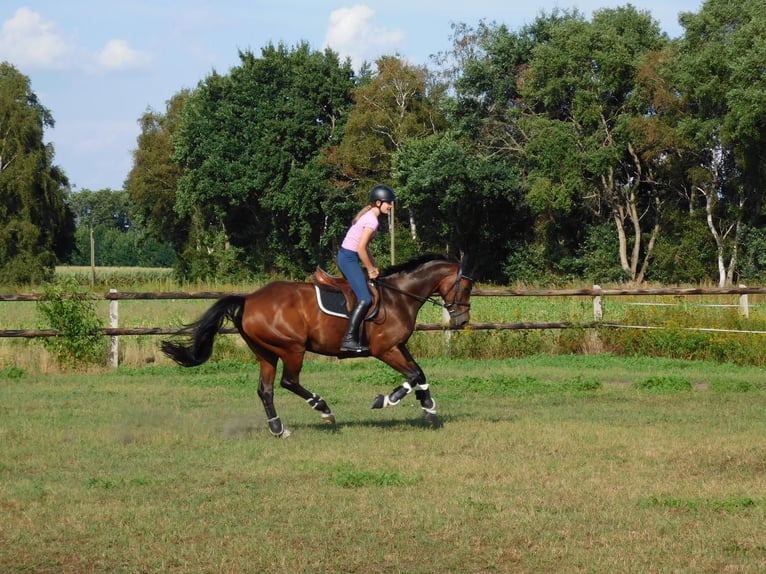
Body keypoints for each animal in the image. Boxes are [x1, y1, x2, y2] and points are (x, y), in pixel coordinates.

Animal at [161, 254, 474, 438]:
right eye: (468, 287)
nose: (461, 320)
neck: (399, 296)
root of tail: (248, 300)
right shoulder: (385, 349)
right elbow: (411, 375)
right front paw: (387, 400)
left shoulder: (398, 346)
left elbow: (419, 373)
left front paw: (429, 408)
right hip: (292, 349)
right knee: (289, 381)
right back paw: (323, 409)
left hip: (266, 353)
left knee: (265, 390)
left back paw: (279, 429)